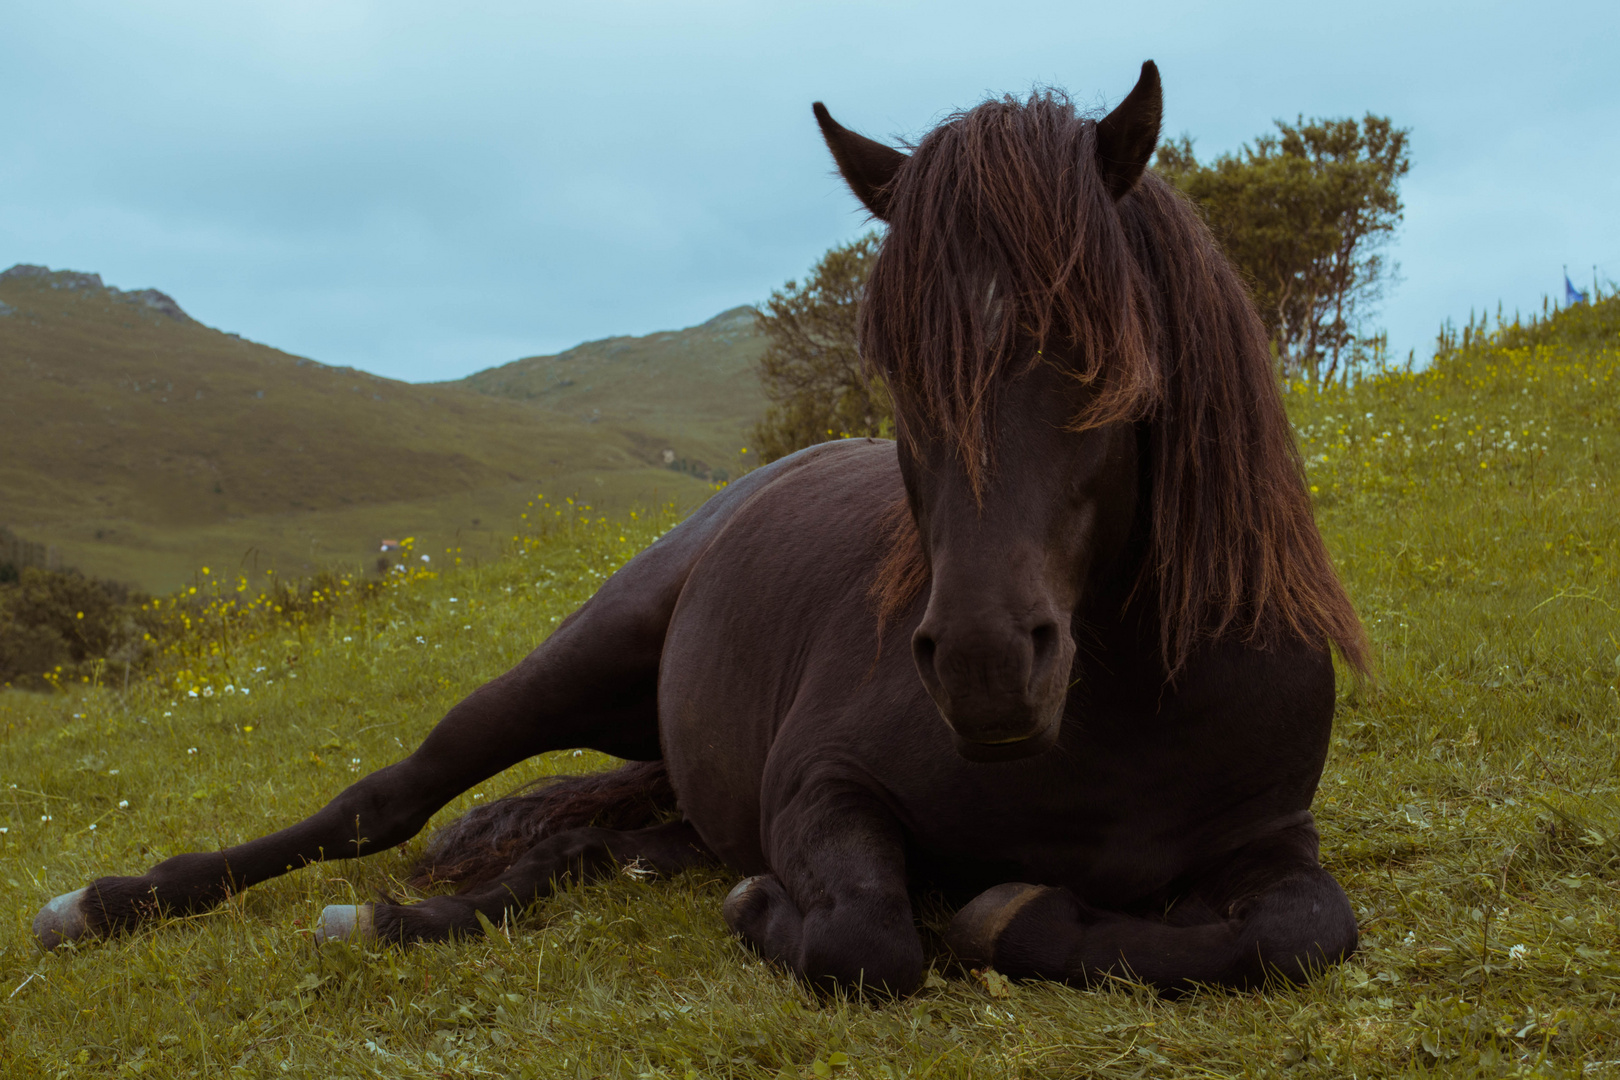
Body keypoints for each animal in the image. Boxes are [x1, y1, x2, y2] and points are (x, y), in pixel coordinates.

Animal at [31, 63, 1367, 997]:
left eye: (1101, 351)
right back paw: (111, 904)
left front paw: (1023, 912)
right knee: (387, 801)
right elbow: (870, 940)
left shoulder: (1273, 839)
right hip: (573, 666)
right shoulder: (822, 787)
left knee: (588, 851)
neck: (1125, 715)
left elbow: (1306, 932)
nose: (987, 665)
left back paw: (410, 919)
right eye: (894, 368)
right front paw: (794, 913)